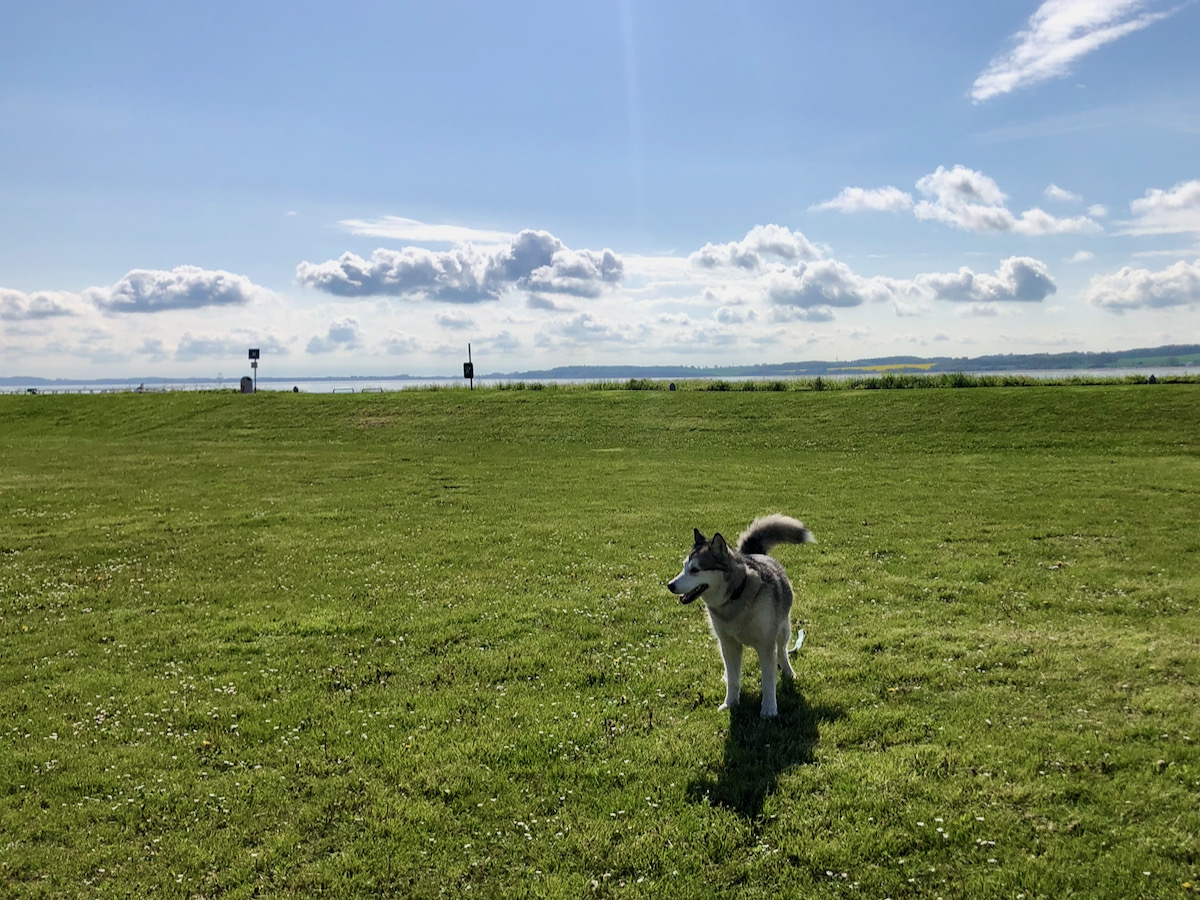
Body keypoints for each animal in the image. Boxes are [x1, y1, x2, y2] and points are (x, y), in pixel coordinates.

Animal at [667, 518, 816, 724]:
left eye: (695, 570)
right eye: (684, 566)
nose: (670, 585)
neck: (735, 596)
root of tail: (754, 554)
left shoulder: (766, 645)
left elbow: (768, 681)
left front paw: (769, 710)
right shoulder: (728, 644)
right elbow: (733, 679)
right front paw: (730, 702)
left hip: (783, 629)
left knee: (782, 651)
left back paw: (788, 671)